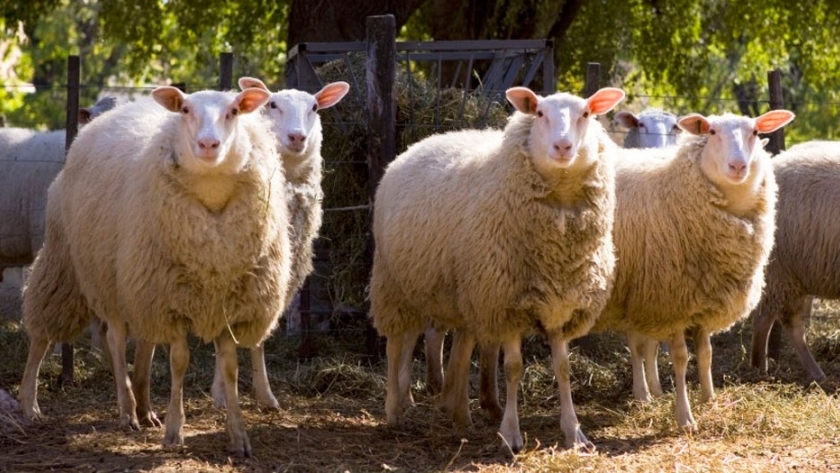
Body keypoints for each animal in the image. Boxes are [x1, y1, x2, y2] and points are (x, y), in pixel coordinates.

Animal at [17, 84, 292, 454]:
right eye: (186, 110)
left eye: (234, 111)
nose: (208, 145)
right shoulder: (168, 302)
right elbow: (179, 362)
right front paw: (175, 431)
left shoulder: (224, 302)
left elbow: (230, 368)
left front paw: (238, 435)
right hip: (73, 265)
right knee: (82, 335)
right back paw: (44, 403)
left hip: (133, 288)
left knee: (135, 343)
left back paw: (143, 406)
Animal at [212, 77, 352, 410]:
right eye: (273, 105)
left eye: (314, 107)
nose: (297, 136)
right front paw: (221, 394)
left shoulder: (273, 278)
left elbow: (259, 338)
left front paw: (265, 395)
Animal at [370, 85, 628, 450]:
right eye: (539, 113)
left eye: (586, 114)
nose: (563, 147)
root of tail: (424, 141)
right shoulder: (505, 303)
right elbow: (514, 367)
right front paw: (511, 433)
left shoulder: (560, 305)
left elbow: (563, 368)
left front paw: (575, 433)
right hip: (393, 283)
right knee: (396, 345)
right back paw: (396, 410)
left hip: (453, 292)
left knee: (454, 346)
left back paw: (456, 412)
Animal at [592, 108, 796, 432]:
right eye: (711, 132)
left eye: (754, 132)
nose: (738, 166)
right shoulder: (672, 297)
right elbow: (680, 356)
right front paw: (685, 417)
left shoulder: (703, 297)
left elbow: (706, 353)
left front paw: (709, 399)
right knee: (636, 344)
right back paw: (642, 393)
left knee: (646, 344)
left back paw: (653, 390)